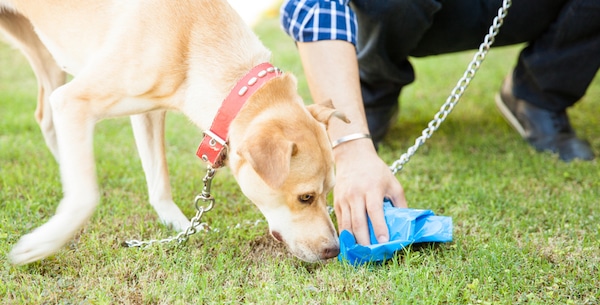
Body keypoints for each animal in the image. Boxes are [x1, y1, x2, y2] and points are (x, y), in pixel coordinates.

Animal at [1, 0, 346, 264]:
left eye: (329, 190)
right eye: (305, 197)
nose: (334, 250)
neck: (192, 37)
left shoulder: (148, 112)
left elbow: (159, 179)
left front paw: (179, 225)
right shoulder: (75, 101)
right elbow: (86, 197)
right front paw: (44, 243)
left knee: (46, 117)